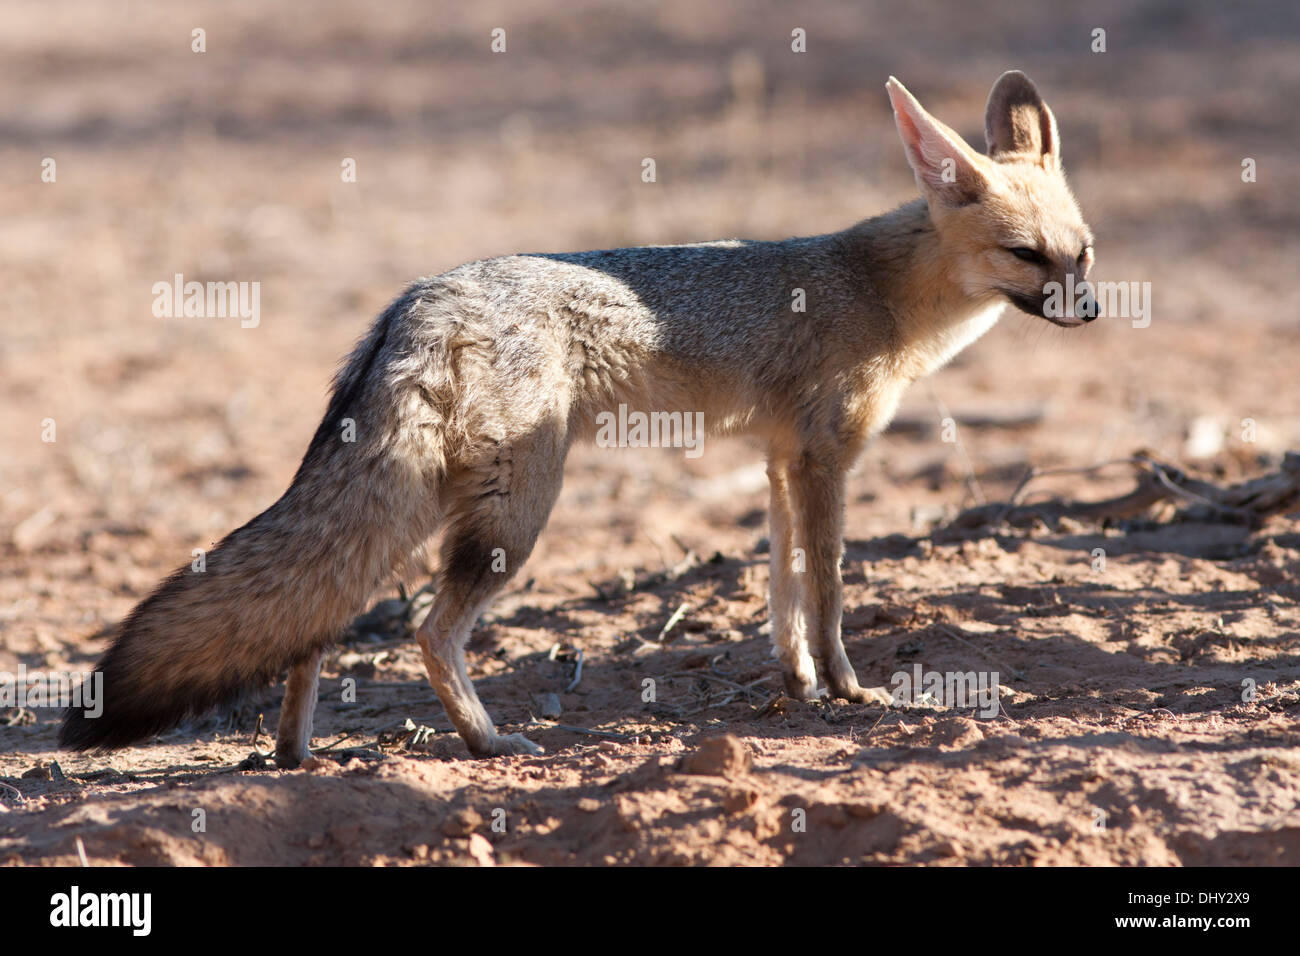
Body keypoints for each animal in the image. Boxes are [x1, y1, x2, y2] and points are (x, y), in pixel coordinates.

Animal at [61, 70, 1097, 764]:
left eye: (1082, 252)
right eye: (1026, 255)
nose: (1091, 311)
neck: (882, 290)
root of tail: (417, 297)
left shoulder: (777, 461)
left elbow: (782, 594)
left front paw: (799, 684)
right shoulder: (825, 460)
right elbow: (831, 587)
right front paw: (846, 688)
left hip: (423, 506)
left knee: (312, 623)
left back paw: (294, 754)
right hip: (515, 512)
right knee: (426, 632)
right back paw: (487, 743)